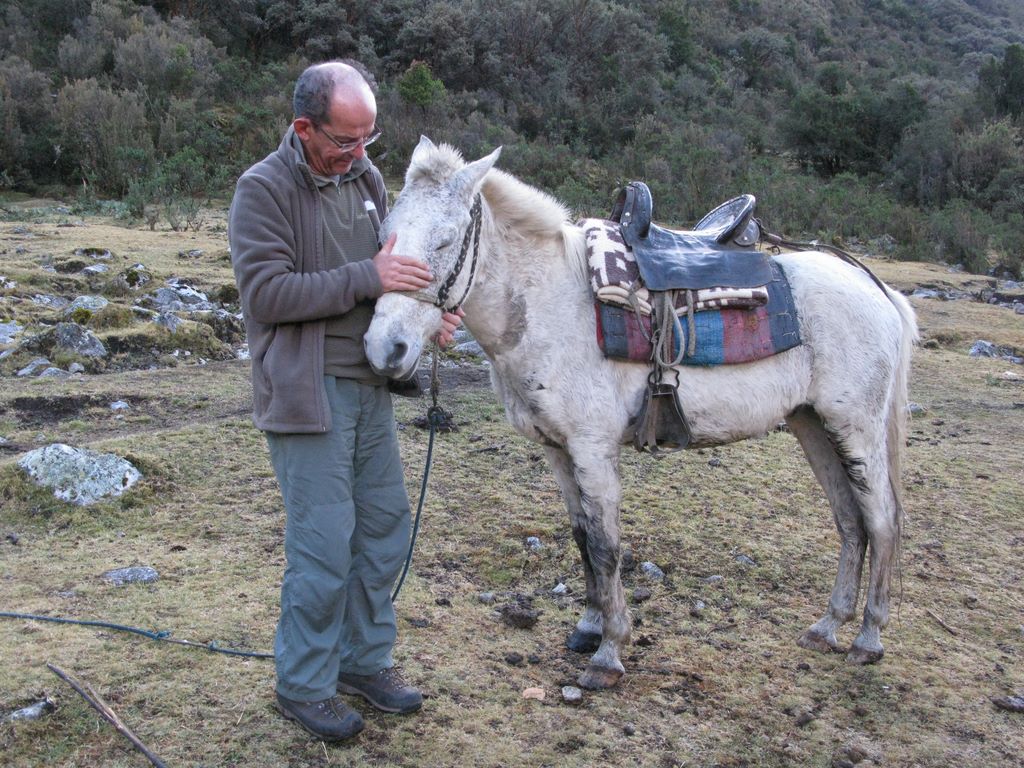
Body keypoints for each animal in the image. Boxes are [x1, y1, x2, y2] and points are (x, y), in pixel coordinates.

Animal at [368, 138, 921, 692]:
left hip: (856, 428)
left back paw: (868, 637)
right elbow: (581, 537)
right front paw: (588, 627)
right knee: (850, 521)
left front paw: (609, 653)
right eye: (385, 231)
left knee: (882, 520)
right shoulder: (558, 449)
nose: (385, 348)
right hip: (812, 425)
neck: (549, 303)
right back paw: (828, 626)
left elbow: (606, 545)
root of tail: (877, 289)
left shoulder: (592, 448)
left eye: (445, 241)